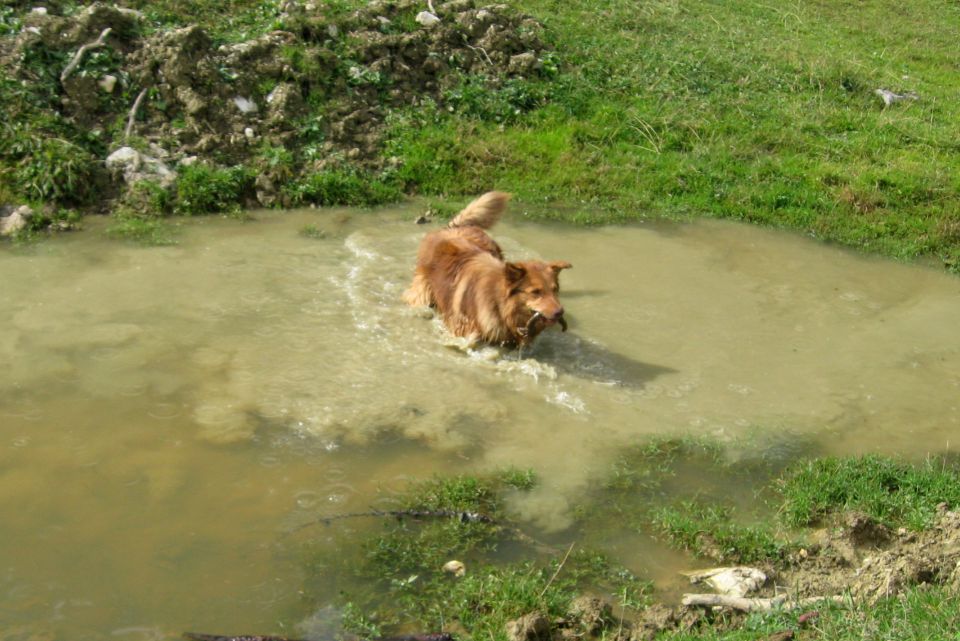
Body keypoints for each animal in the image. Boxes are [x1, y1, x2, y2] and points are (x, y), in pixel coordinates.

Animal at [404, 191, 572, 344]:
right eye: (535, 292)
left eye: (555, 289)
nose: (560, 312)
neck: (499, 305)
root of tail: (452, 228)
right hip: (421, 294)